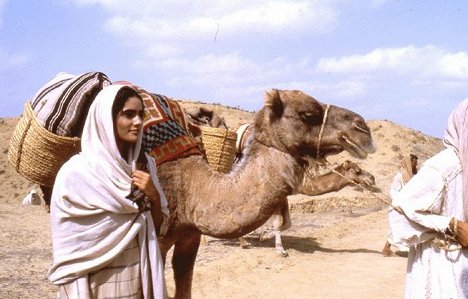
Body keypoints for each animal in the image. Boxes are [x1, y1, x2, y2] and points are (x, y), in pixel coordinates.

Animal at [155, 89, 374, 299]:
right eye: (308, 114)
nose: (362, 127)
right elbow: (279, 222)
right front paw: (276, 246)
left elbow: (285, 222)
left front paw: (265, 237)